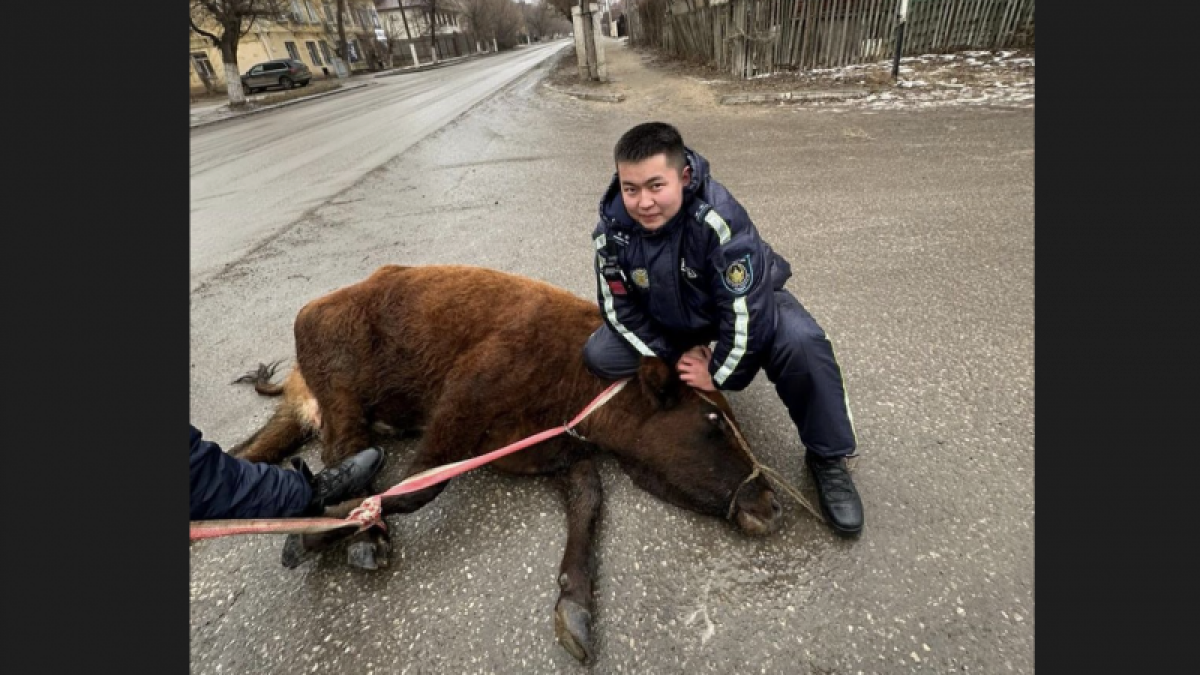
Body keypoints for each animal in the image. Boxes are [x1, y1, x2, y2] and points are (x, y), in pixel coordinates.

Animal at [229, 263, 782, 658]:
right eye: (713, 420)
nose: (773, 504)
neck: (578, 377)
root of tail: (316, 306)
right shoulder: (461, 403)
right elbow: (419, 486)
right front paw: (312, 535)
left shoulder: (549, 452)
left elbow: (589, 500)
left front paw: (575, 609)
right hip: (342, 393)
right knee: (346, 451)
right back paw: (366, 538)